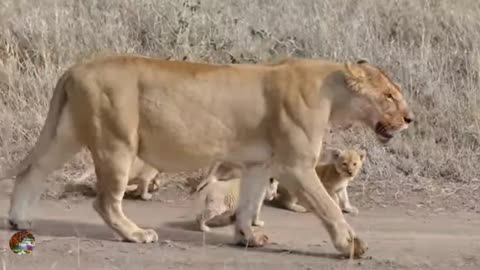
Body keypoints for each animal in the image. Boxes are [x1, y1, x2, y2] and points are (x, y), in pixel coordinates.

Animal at [0, 54, 412, 258]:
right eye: (389, 95)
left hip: (66, 135)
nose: (410, 119)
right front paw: (351, 245)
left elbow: (249, 203)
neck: (332, 91)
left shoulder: (261, 163)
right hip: (116, 142)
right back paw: (136, 234)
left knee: (33, 171)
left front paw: (247, 237)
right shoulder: (295, 164)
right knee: (105, 202)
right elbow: (327, 207)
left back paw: (19, 219)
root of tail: (74, 69)